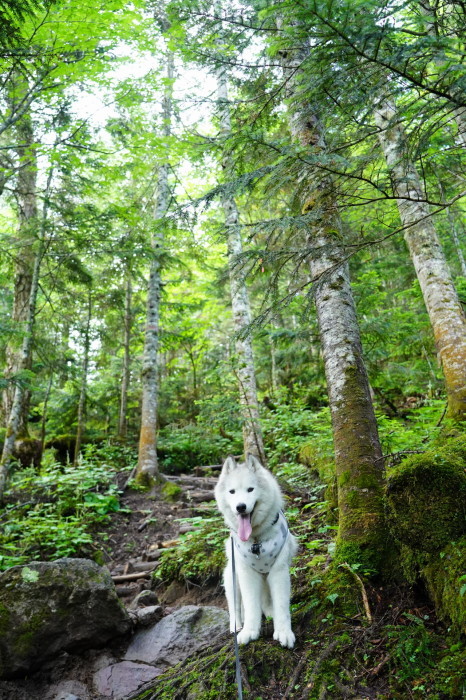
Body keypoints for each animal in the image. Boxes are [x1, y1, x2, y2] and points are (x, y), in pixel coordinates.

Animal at [213, 454, 296, 644]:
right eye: (232, 492)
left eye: (250, 489)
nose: (241, 507)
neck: (256, 541)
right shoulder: (247, 574)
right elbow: (251, 606)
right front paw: (250, 631)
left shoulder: (279, 572)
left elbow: (282, 605)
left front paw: (284, 632)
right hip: (232, 577)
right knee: (236, 606)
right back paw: (236, 625)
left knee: (266, 601)